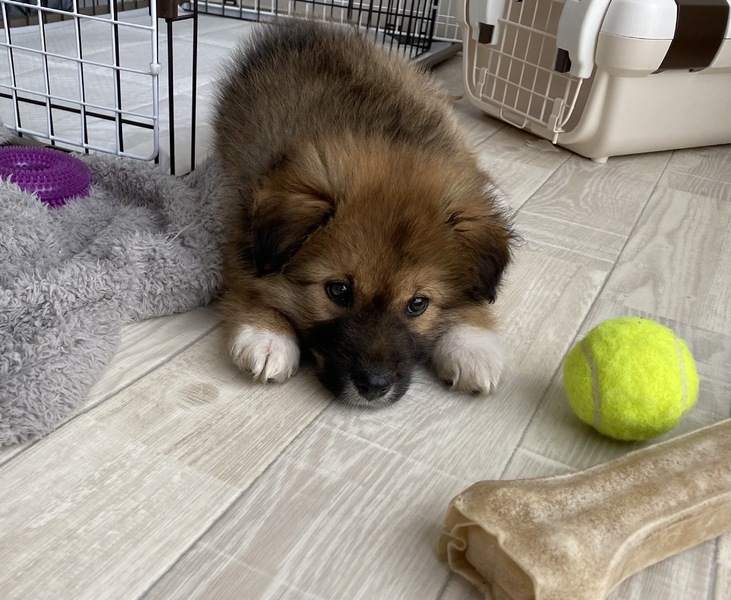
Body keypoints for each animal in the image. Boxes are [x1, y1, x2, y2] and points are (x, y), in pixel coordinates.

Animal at [213, 19, 515, 406]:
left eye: (418, 303)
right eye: (338, 291)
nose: (374, 387)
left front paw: (472, 343)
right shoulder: (241, 230)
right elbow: (250, 283)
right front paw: (267, 333)